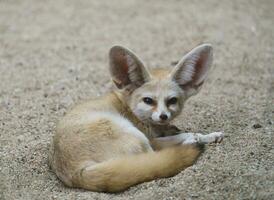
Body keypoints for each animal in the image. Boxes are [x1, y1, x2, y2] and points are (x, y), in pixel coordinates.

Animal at [49, 43, 223, 192]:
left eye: (172, 101)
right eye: (148, 100)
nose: (163, 116)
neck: (129, 108)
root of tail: (76, 172)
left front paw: (211, 135)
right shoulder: (151, 138)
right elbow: (183, 135)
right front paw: (197, 138)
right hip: (133, 134)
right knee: (155, 157)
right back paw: (190, 144)